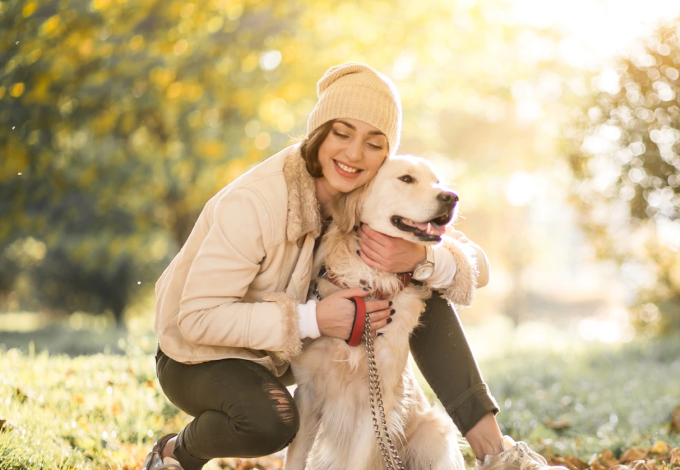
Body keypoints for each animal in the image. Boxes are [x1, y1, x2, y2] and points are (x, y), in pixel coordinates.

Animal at [284, 155, 464, 470]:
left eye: (437, 181)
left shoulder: (378, 401)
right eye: (406, 179)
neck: (368, 285)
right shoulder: (308, 394)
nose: (451, 197)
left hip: (434, 433)